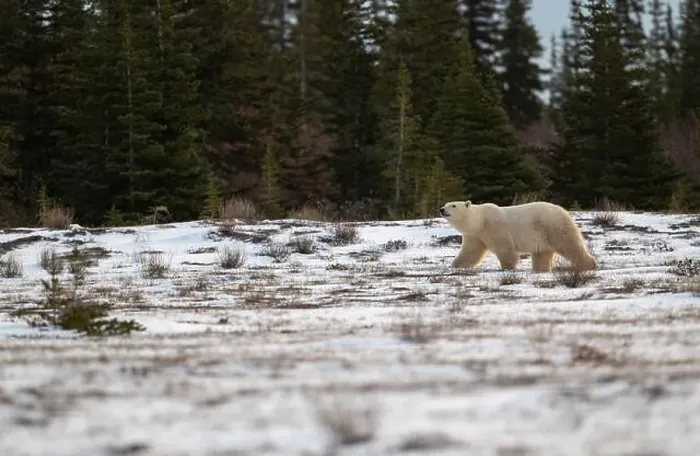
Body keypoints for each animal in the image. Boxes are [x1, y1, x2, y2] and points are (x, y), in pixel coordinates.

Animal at [438, 200, 596, 272]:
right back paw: (540, 269)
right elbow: (470, 252)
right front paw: (455, 266)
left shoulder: (495, 228)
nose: (441, 209)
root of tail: (564, 211)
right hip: (542, 236)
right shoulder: (476, 235)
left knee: (569, 245)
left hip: (553, 227)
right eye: (446, 204)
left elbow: (505, 248)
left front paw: (507, 268)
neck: (480, 221)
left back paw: (589, 264)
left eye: (453, 205)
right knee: (542, 254)